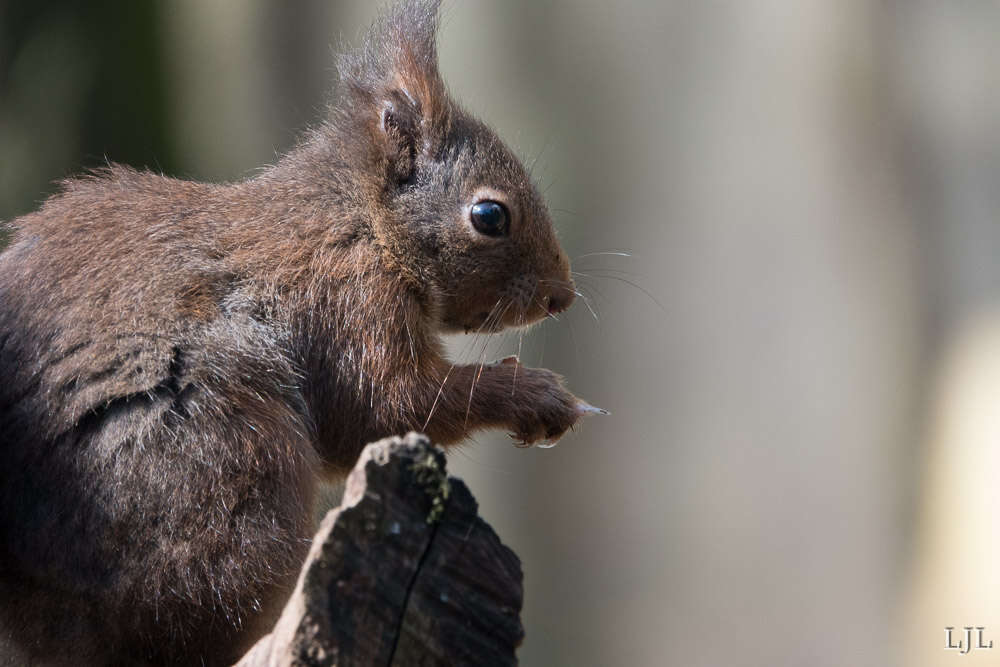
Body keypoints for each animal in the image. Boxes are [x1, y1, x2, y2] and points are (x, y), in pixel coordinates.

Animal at [0, 0, 600, 664]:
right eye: (490, 216)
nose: (561, 296)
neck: (361, 219)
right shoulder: (348, 300)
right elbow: (391, 404)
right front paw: (539, 396)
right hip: (219, 474)